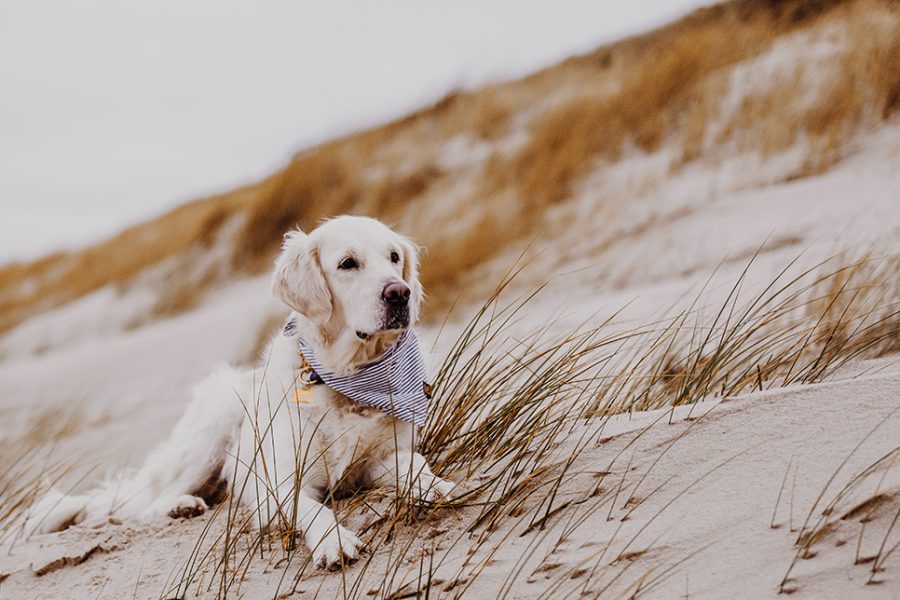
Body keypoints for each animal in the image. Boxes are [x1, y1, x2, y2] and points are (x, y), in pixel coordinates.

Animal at [25, 214, 454, 568]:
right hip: (211, 433)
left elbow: (414, 464)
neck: (347, 379)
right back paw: (180, 505)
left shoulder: (379, 458)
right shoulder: (279, 484)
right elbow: (314, 511)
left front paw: (435, 486)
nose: (400, 293)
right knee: (144, 505)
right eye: (348, 263)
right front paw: (334, 542)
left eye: (394, 257)